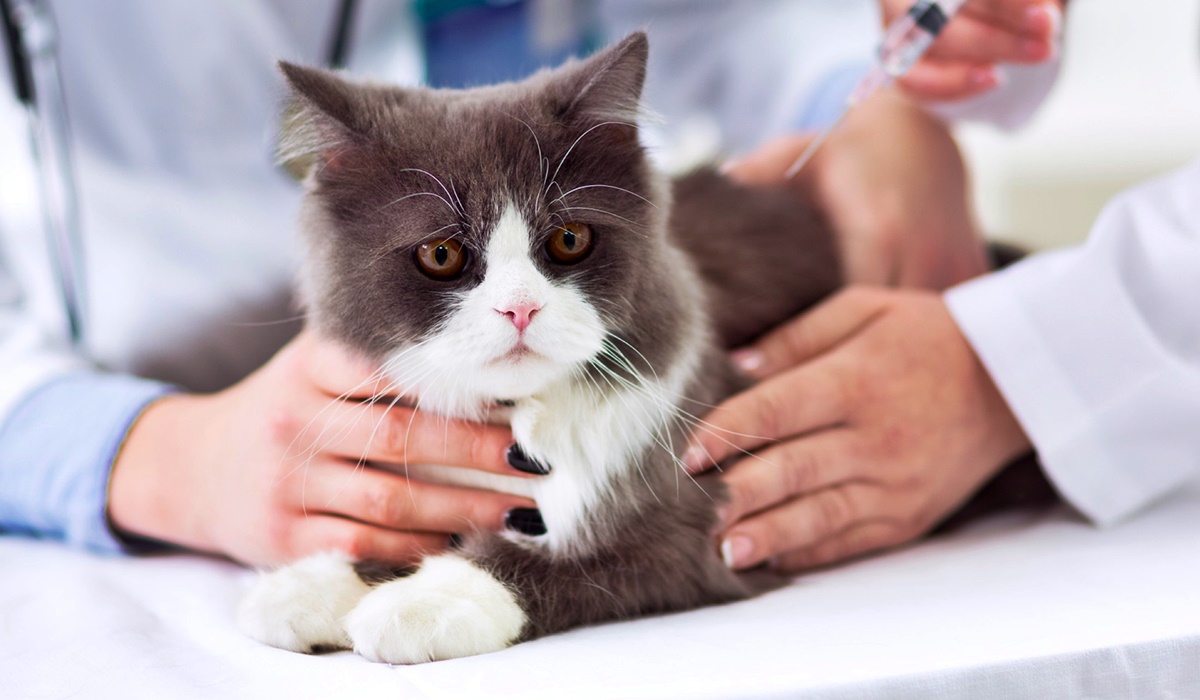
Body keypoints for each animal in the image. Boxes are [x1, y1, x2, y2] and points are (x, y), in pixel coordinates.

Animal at [238, 32, 840, 667]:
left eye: (569, 239)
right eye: (441, 254)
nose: (520, 309)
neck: (514, 414)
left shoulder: (704, 527)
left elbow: (564, 559)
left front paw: (428, 600)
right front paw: (315, 583)